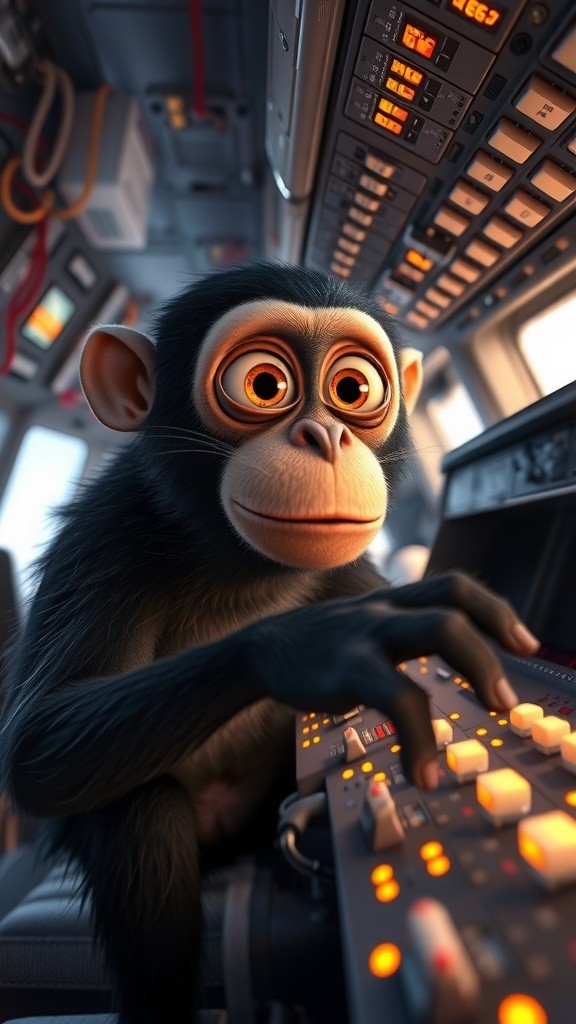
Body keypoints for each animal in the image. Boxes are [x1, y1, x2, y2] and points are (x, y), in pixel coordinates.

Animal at [0, 261, 539, 1024]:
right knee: (141, 813)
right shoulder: (102, 536)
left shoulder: (352, 568)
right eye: (264, 384)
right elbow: (36, 742)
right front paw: (322, 643)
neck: (240, 570)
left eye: (354, 389)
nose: (326, 436)